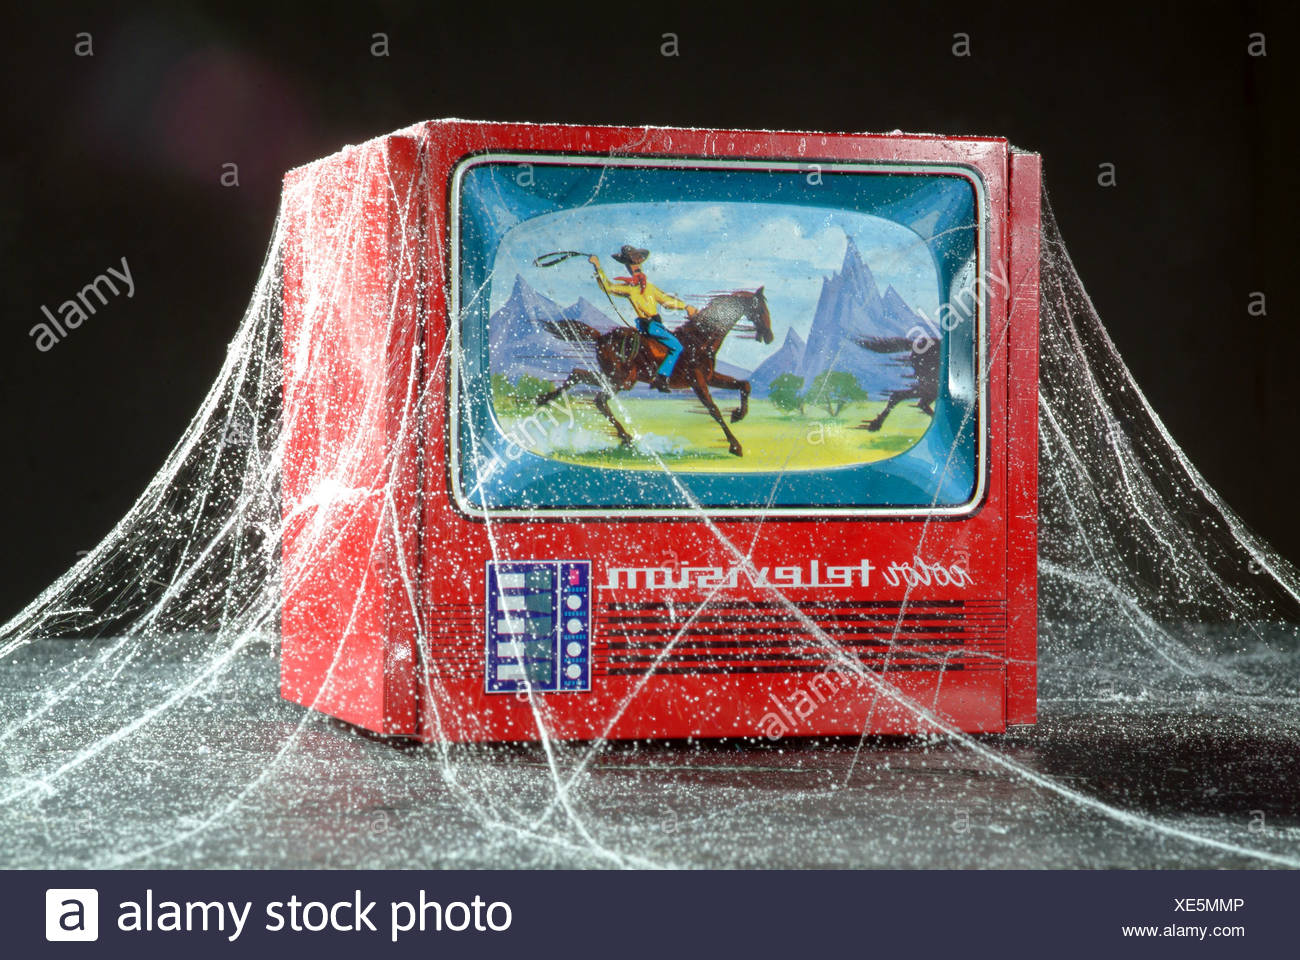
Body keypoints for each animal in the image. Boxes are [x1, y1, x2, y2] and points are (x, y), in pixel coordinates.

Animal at [535, 287, 769, 455]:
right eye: (760, 309)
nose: (769, 336)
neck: (699, 340)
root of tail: (601, 337)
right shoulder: (698, 381)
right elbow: (714, 409)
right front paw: (735, 445)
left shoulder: (710, 377)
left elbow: (743, 385)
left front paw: (739, 414)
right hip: (620, 380)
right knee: (599, 399)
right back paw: (627, 438)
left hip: (615, 377)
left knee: (577, 374)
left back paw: (543, 399)